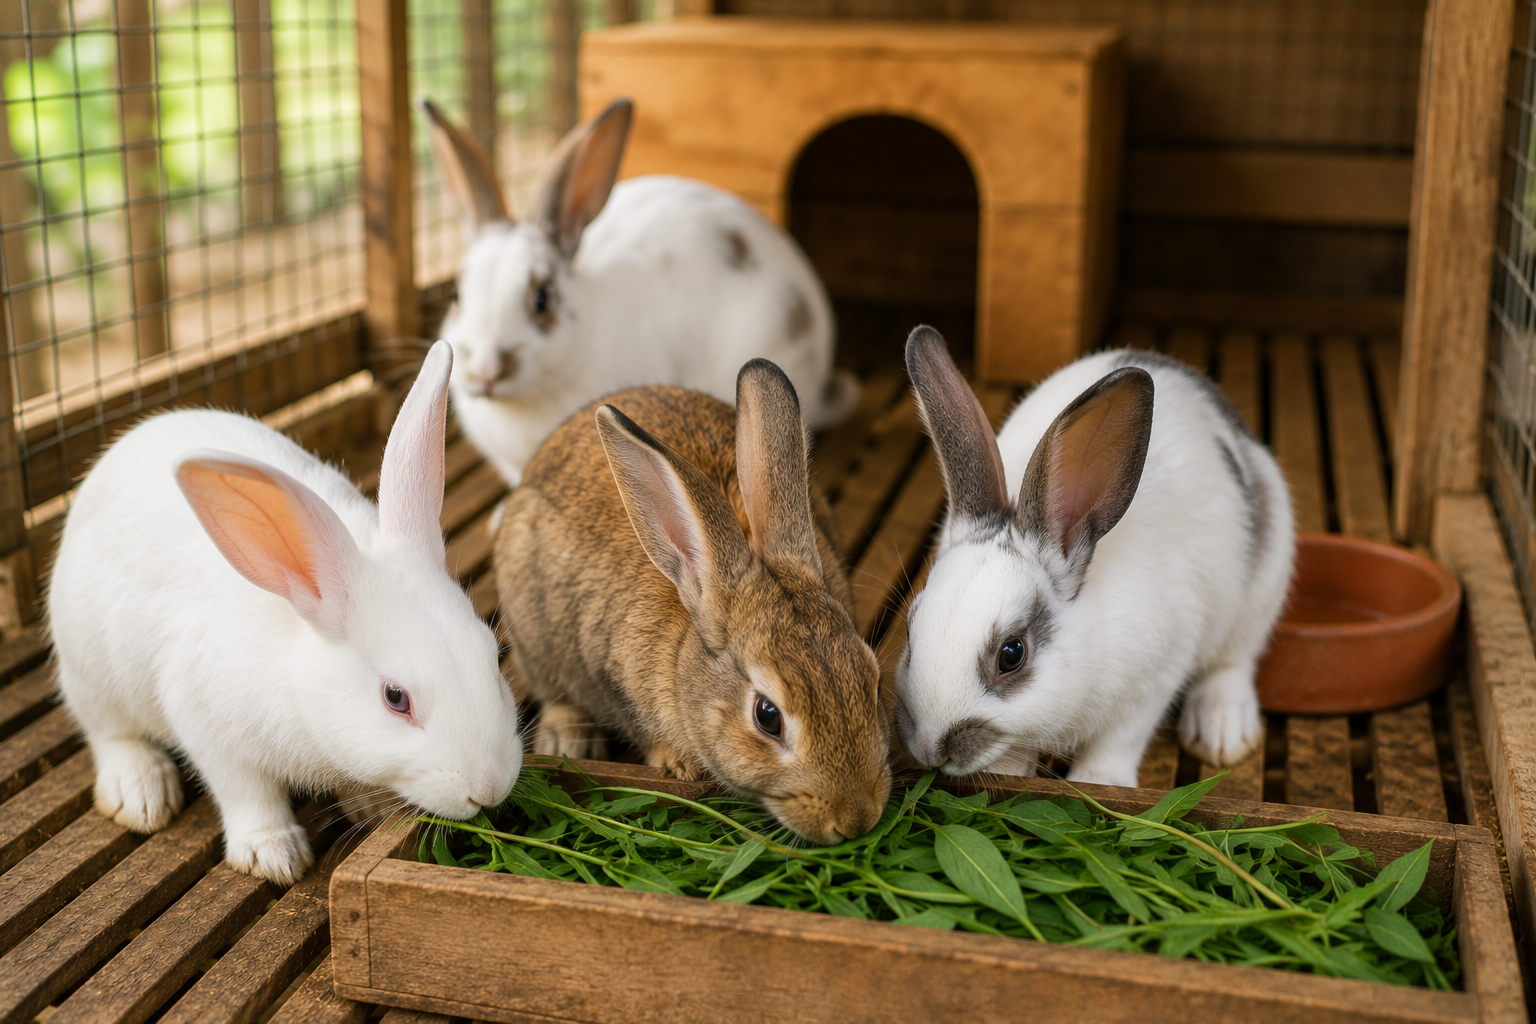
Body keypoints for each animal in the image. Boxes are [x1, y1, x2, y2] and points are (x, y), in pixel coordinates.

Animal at [48, 341, 523, 884]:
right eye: (395, 698)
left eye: (493, 654)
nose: (489, 788)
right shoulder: (207, 724)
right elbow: (245, 791)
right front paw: (272, 856)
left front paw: (370, 808)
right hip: (90, 668)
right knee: (108, 732)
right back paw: (141, 793)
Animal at [895, 326, 1294, 789]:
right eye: (910, 630)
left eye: (1012, 655)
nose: (929, 749)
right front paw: (1006, 772)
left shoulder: (1153, 679)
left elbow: (1120, 739)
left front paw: (1101, 780)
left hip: (1264, 583)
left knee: (1234, 660)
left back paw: (1222, 732)